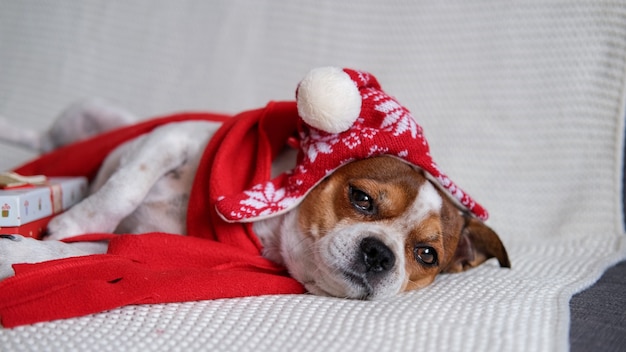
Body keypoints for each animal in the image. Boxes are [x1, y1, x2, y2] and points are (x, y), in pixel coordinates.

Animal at [0, 66, 508, 300]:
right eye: (361, 198)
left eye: (426, 255)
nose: (380, 254)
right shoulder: (173, 137)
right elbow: (122, 189)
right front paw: (70, 224)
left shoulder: (160, 246)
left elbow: (87, 252)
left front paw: (26, 253)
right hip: (89, 116)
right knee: (43, 137)